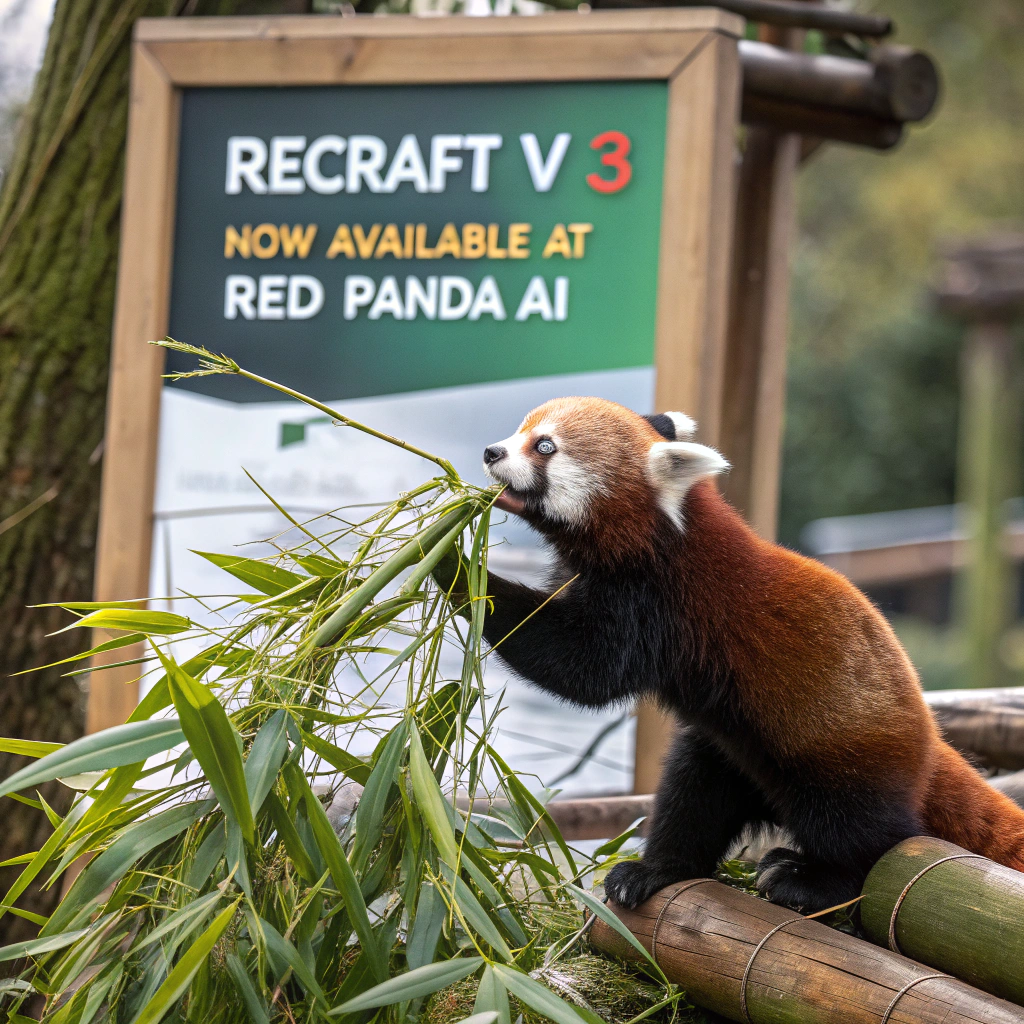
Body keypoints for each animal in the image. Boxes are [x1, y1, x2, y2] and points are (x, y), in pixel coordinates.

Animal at [436, 395, 1024, 912]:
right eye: (520, 430)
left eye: (544, 446)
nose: (491, 451)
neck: (661, 537)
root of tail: (930, 740)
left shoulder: (658, 606)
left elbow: (580, 671)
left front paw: (453, 565)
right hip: (735, 752)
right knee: (692, 794)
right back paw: (657, 870)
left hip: (843, 760)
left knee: (867, 837)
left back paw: (812, 882)